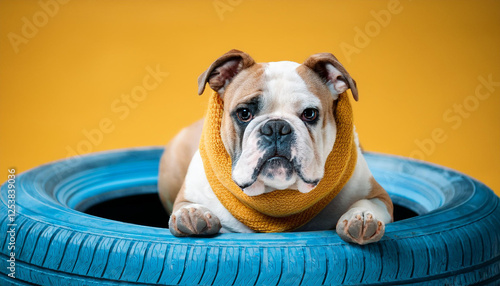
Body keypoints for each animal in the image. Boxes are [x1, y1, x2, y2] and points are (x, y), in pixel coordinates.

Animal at [158, 49, 392, 246]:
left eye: (310, 114)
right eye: (244, 113)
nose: (277, 127)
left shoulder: (379, 196)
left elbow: (367, 203)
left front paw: (361, 217)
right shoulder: (188, 195)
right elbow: (187, 205)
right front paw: (192, 213)